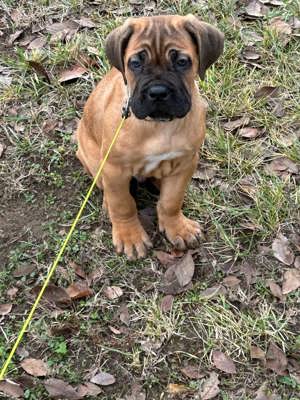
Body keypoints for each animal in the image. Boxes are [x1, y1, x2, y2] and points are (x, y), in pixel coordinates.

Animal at [76, 14, 224, 260]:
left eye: (182, 62)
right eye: (135, 63)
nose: (157, 92)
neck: (158, 126)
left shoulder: (185, 162)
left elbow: (171, 200)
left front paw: (177, 227)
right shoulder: (115, 169)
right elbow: (123, 203)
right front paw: (130, 236)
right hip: (91, 156)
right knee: (105, 187)